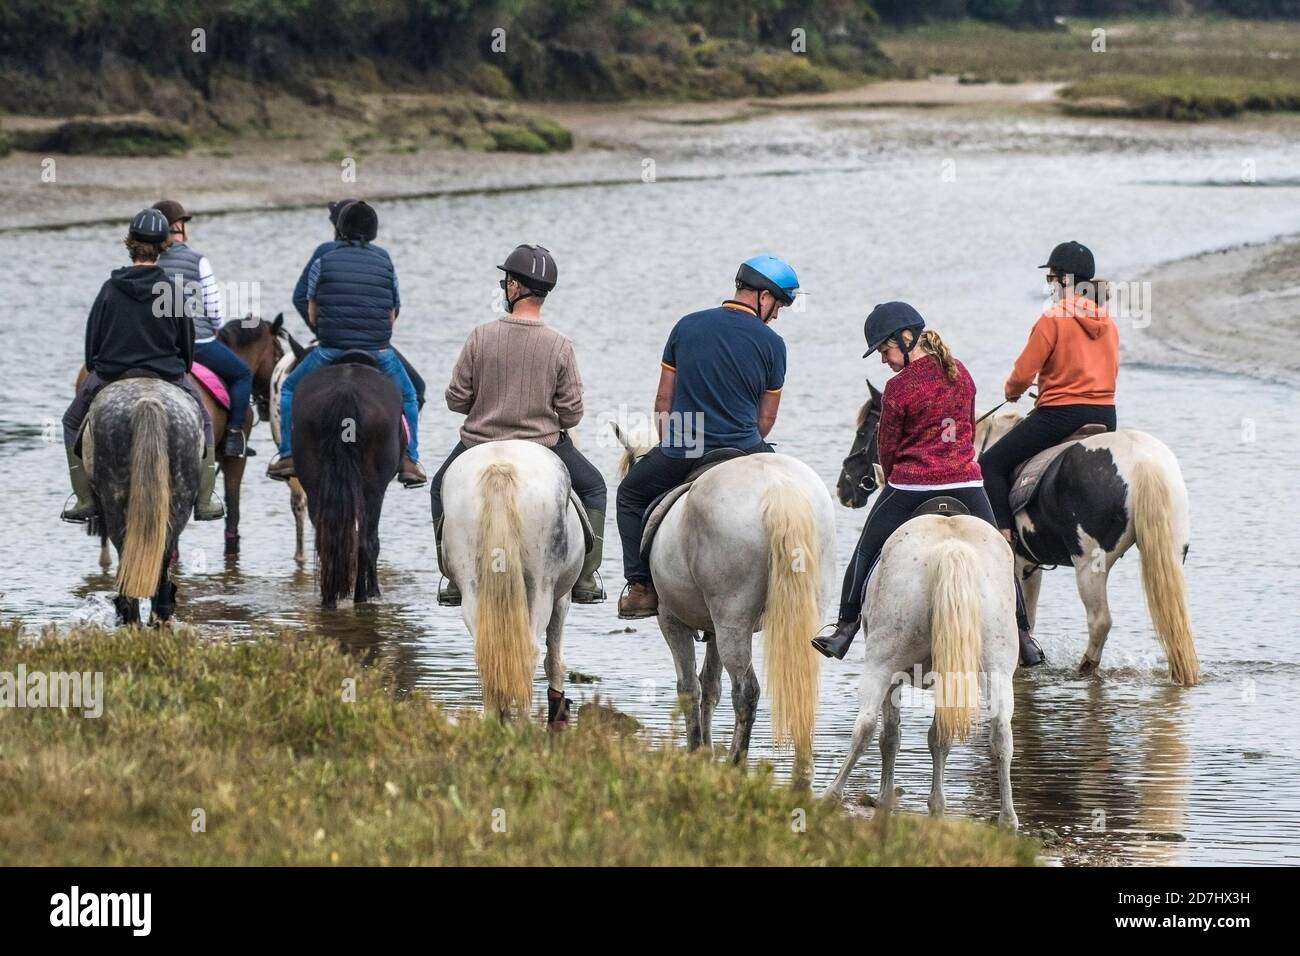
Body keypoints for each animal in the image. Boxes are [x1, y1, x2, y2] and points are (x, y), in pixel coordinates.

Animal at [293, 356, 400, 608]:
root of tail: (345, 392)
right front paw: (373, 591)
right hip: (373, 491)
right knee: (365, 542)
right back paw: (363, 596)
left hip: (315, 486)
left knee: (326, 542)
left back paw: (329, 599)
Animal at [439, 437, 582, 723]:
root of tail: (500, 467)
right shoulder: (562, 597)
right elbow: (555, 661)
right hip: (541, 586)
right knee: (529, 651)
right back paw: (524, 724)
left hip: (473, 589)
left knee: (487, 651)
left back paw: (496, 718)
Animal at [608, 426, 832, 770]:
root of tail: (777, 488)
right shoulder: (712, 628)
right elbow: (711, 686)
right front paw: (705, 751)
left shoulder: (671, 621)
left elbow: (689, 687)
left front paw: (695, 751)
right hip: (799, 617)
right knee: (801, 686)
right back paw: (801, 773)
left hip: (732, 622)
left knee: (746, 691)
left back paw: (736, 764)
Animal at [826, 509, 1019, 832]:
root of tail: (951, 549)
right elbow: (938, 737)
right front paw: (936, 805)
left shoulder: (895, 677)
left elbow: (890, 735)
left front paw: (885, 798)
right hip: (997, 668)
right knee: (1002, 733)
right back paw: (1007, 821)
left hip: (881, 662)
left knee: (865, 726)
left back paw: (831, 793)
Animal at [977, 411, 1196, 686]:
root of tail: (1142, 461)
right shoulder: (1028, 567)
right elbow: (1028, 616)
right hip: (1173, 554)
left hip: (1089, 565)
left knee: (1100, 621)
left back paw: (1085, 668)